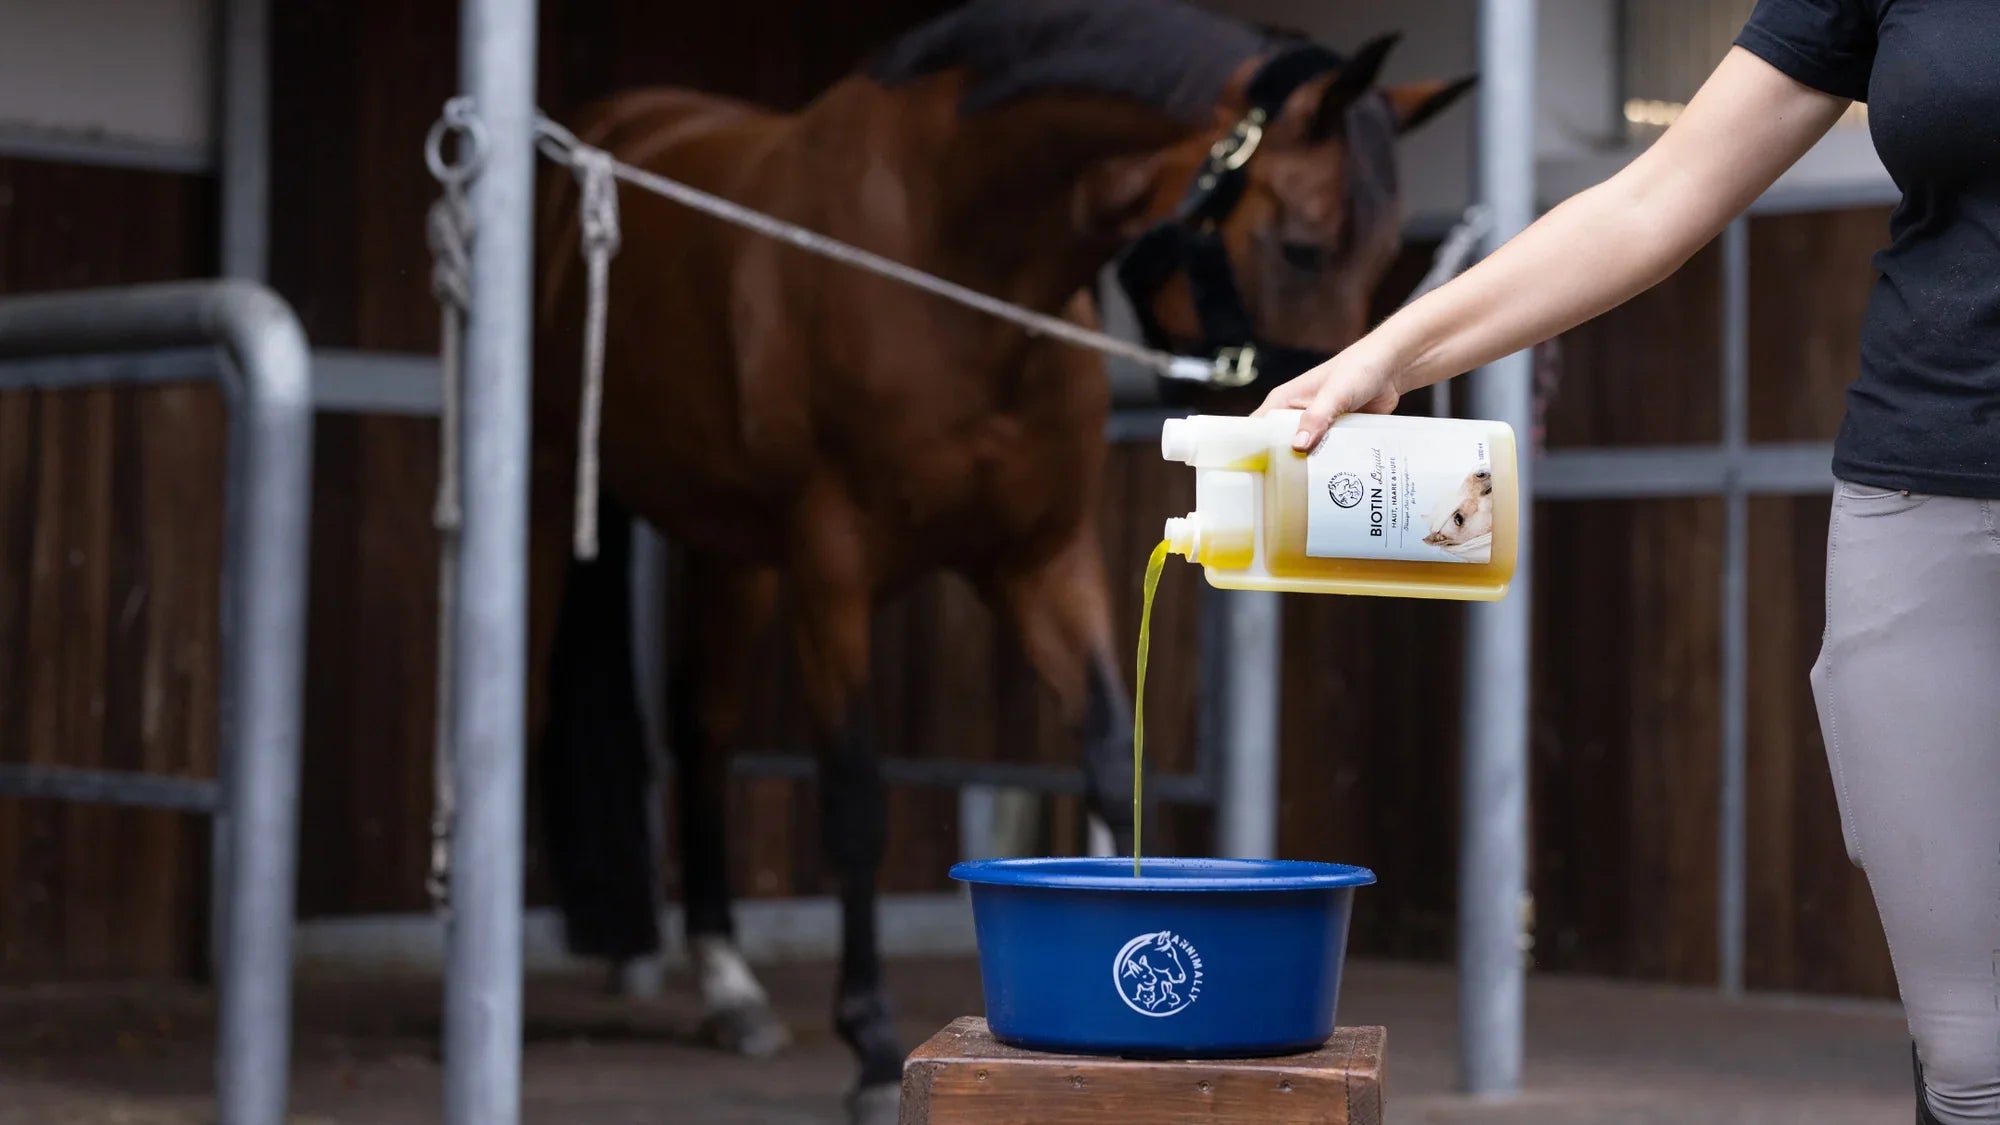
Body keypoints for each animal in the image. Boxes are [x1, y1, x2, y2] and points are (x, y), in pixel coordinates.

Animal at [527, 2, 1472, 1119]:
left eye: (1386, 256)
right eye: (1300, 246)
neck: (956, 252)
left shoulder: (1043, 558)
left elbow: (1109, 751)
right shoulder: (831, 566)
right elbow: (854, 797)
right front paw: (866, 1041)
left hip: (734, 553)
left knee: (699, 726)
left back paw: (729, 987)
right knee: (691, 728)